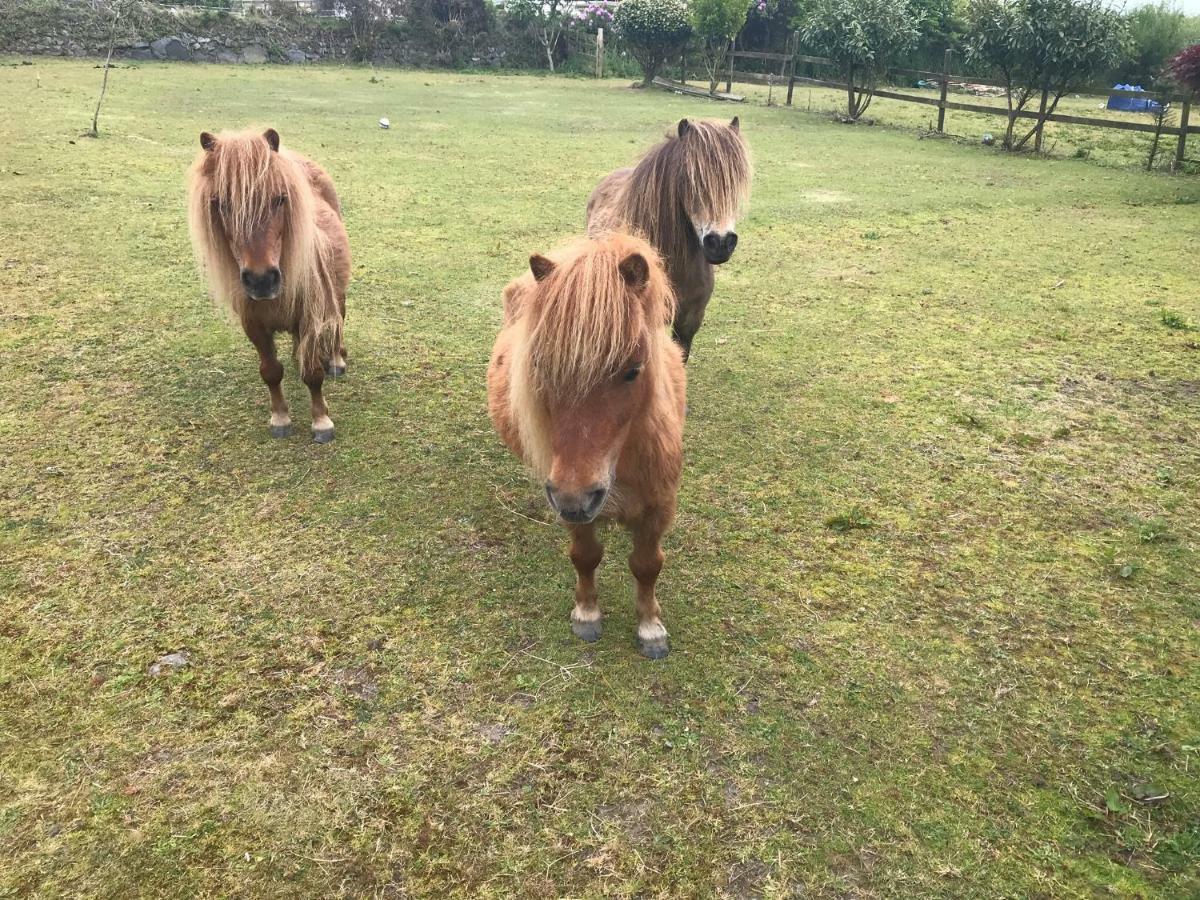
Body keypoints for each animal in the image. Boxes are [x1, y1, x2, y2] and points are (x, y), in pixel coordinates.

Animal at [184, 128, 350, 446]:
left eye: (280, 199)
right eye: (221, 203)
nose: (261, 280)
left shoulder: (310, 317)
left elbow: (313, 373)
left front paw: (321, 422)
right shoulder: (254, 326)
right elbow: (271, 372)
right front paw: (280, 418)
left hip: (337, 294)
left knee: (338, 322)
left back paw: (336, 360)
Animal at [487, 236, 691, 657]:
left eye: (633, 370)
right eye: (539, 366)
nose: (575, 496)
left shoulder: (660, 507)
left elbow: (647, 564)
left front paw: (650, 628)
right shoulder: (571, 508)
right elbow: (585, 557)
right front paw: (587, 614)